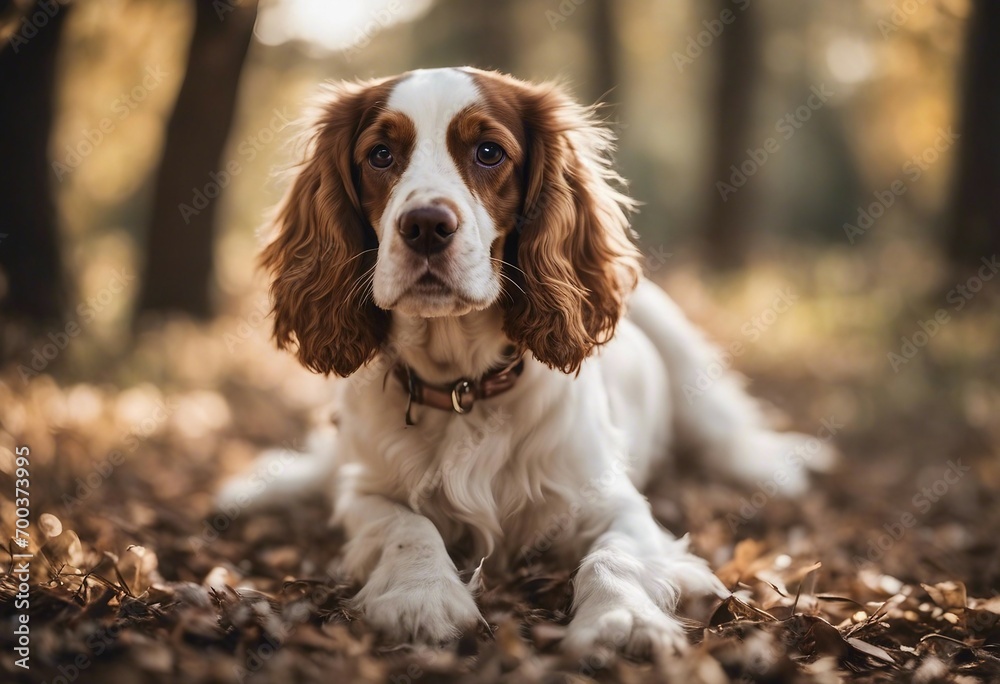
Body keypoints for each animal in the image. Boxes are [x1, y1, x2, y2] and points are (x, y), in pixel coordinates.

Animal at [221, 67, 836, 660]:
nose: (425, 225)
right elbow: (406, 524)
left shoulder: (612, 501)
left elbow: (614, 558)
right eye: (380, 155)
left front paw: (621, 621)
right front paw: (422, 595)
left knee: (724, 434)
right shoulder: (367, 490)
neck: (462, 387)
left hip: (682, 350)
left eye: (489, 152)